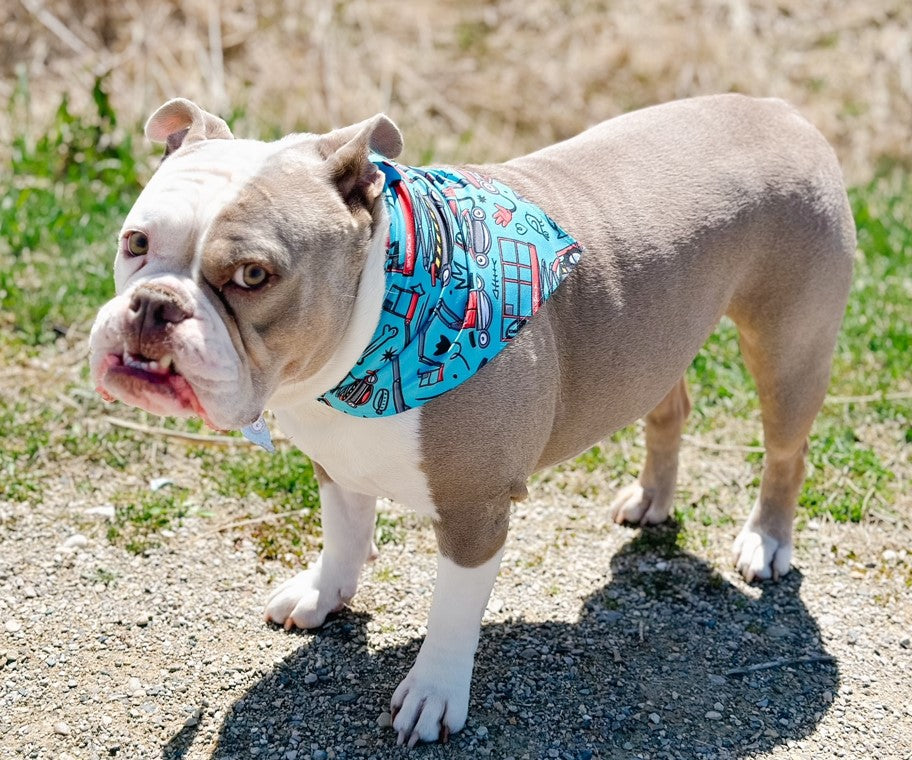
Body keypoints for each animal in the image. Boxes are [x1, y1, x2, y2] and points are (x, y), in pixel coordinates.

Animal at [87, 93, 856, 744]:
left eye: (253, 276)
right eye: (135, 243)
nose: (154, 306)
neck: (373, 335)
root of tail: (782, 110)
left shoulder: (473, 513)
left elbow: (451, 614)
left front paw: (432, 694)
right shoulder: (336, 464)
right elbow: (343, 535)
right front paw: (322, 594)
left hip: (788, 348)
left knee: (787, 451)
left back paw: (765, 542)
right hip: (655, 344)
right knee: (669, 408)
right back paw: (651, 499)